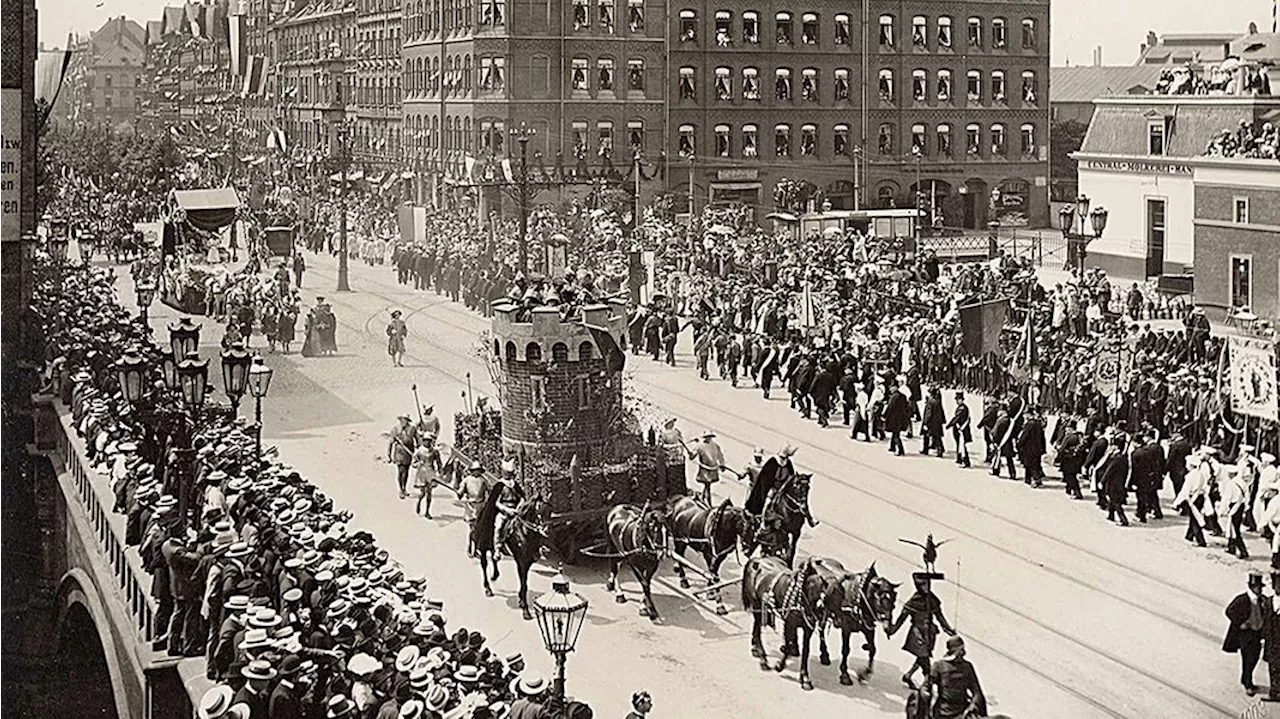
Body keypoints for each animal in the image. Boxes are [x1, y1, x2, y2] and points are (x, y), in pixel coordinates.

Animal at [476, 483, 545, 619]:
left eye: (549, 511)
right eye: (538, 511)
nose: (543, 530)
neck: (525, 533)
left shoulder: (529, 561)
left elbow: (524, 583)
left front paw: (521, 600)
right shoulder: (521, 561)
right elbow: (523, 583)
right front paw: (525, 609)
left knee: (494, 556)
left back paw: (495, 574)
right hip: (483, 546)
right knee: (484, 565)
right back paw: (488, 589)